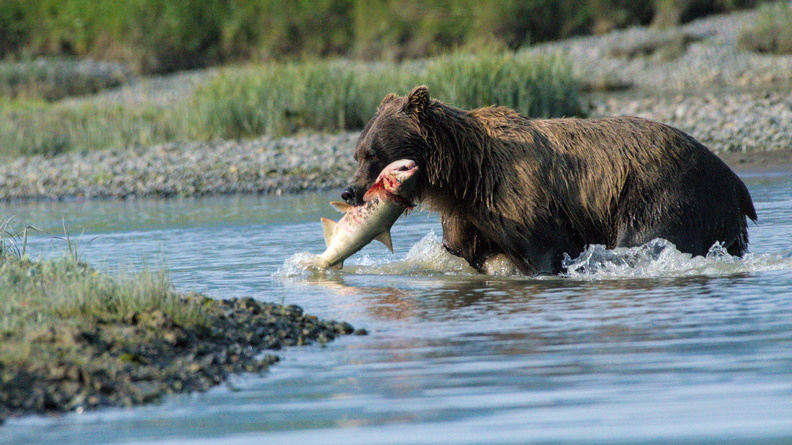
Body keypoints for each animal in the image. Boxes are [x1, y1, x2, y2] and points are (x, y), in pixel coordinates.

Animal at [341, 85, 757, 275]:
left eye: (374, 154)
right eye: (358, 153)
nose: (350, 191)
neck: (465, 176)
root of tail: (734, 179)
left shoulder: (521, 198)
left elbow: (547, 249)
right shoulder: (469, 216)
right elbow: (466, 252)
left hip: (664, 190)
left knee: (646, 239)